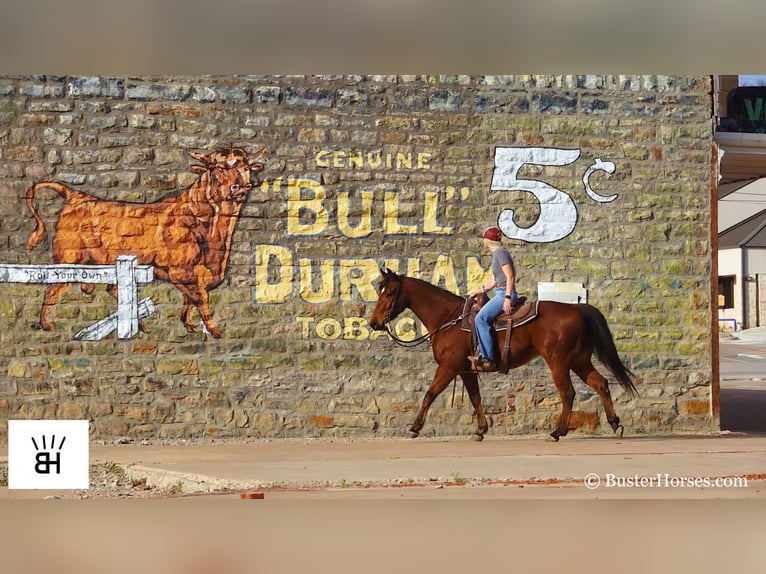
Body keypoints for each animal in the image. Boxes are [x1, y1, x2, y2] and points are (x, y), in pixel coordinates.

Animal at [368, 272, 640, 446]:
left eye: (389, 292)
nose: (373, 323)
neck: (449, 319)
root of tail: (577, 308)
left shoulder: (448, 367)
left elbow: (430, 394)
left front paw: (414, 428)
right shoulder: (466, 370)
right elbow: (476, 398)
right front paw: (480, 430)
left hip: (559, 362)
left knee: (568, 393)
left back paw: (557, 432)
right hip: (579, 360)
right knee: (601, 384)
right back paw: (615, 424)